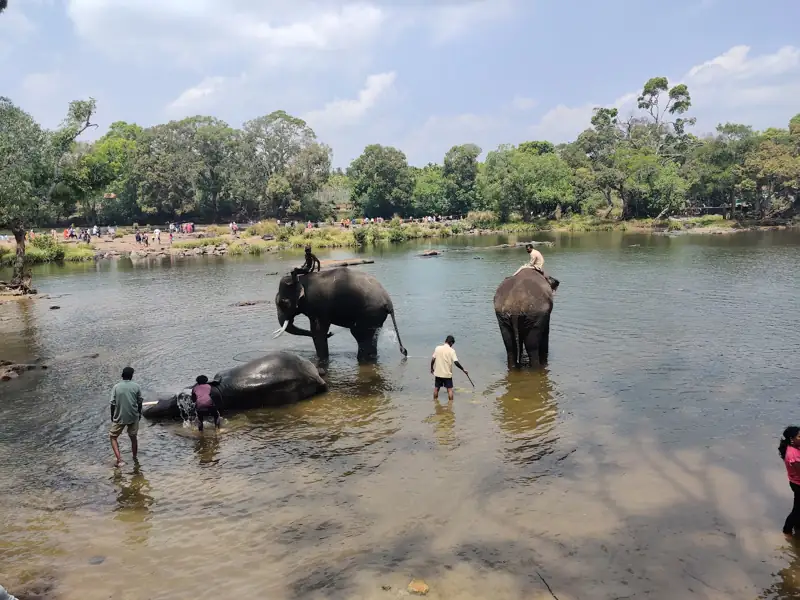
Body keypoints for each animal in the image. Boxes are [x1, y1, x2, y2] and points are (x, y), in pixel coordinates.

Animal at [273, 267, 408, 363]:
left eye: (283, 303)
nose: (331, 333)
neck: (301, 279)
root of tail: (389, 302)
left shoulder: (318, 306)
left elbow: (318, 331)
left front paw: (322, 360)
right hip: (375, 317)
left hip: (369, 313)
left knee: (360, 335)